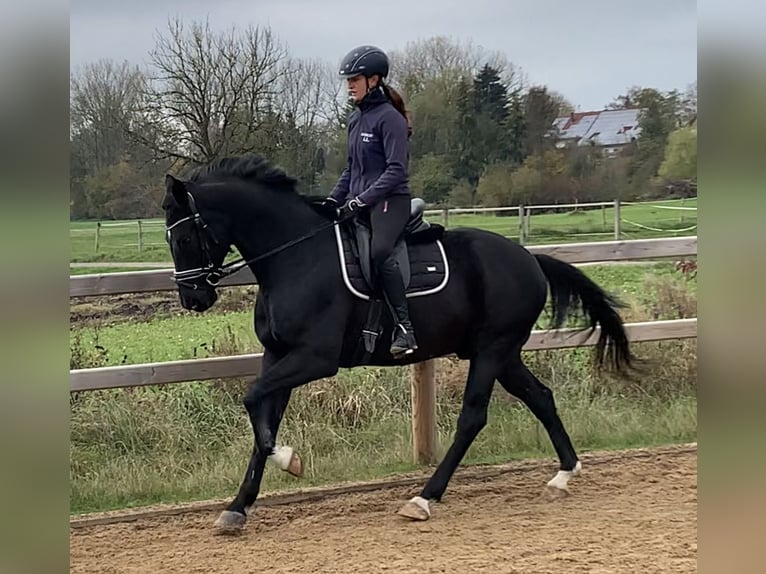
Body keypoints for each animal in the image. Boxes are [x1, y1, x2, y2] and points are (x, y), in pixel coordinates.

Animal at [162, 156, 636, 536]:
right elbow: (263, 418)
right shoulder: (277, 356)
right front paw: (237, 507)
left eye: (183, 239)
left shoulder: (314, 359)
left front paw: (289, 460)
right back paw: (564, 474)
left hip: (491, 351)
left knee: (473, 418)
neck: (296, 259)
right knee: (540, 397)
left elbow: (252, 401)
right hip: (502, 354)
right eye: (169, 239)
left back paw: (424, 498)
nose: (193, 299)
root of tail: (528, 258)